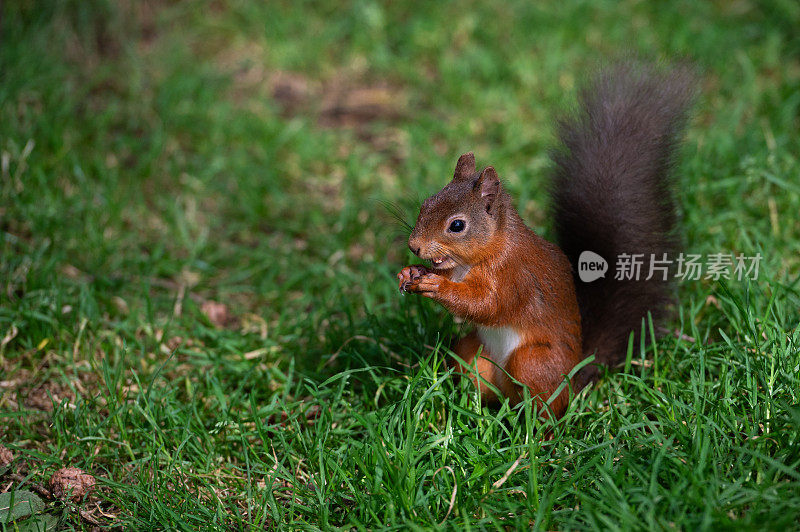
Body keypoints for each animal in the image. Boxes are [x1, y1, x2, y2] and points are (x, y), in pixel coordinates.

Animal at [398, 63, 692, 416]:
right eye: (426, 203)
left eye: (457, 225)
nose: (414, 246)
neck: (478, 257)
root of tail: (574, 378)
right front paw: (412, 272)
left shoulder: (515, 276)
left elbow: (486, 304)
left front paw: (436, 286)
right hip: (471, 353)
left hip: (535, 361)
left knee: (543, 404)